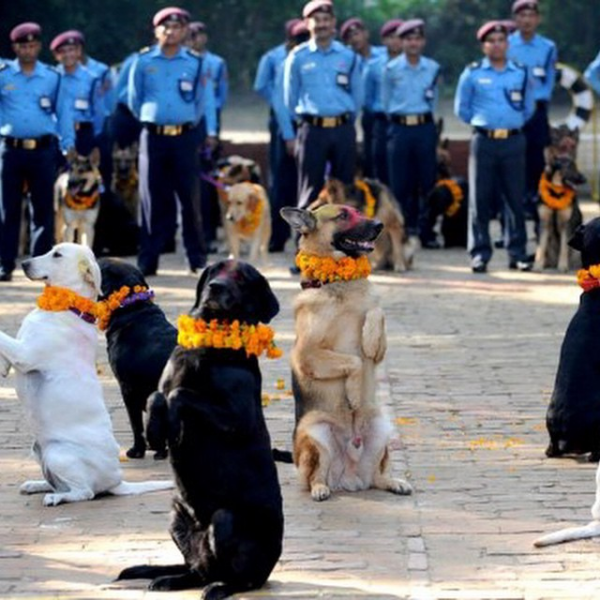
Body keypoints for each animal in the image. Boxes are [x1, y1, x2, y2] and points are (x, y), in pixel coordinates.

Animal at [119, 262, 286, 600]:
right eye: (214, 271)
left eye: (243, 278)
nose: (216, 288)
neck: (210, 343)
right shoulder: (162, 383)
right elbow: (158, 396)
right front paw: (155, 431)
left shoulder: (239, 418)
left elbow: (181, 394)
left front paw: (171, 426)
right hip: (176, 518)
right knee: (197, 570)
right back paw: (170, 579)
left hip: (226, 520)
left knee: (244, 579)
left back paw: (221, 588)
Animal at [282, 204, 412, 500]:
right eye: (342, 215)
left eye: (359, 211)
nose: (379, 225)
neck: (338, 282)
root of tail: (350, 480)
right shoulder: (306, 355)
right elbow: (354, 361)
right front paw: (352, 393)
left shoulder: (379, 349)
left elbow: (376, 311)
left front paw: (368, 336)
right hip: (315, 432)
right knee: (314, 476)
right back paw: (320, 488)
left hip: (383, 429)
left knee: (378, 476)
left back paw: (394, 482)